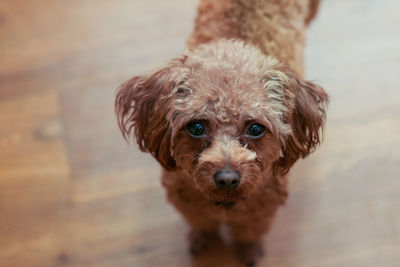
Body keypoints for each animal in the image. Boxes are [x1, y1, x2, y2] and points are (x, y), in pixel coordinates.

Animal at [115, 0, 328, 266]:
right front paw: (201, 238)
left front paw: (250, 250)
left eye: (256, 129)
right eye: (196, 127)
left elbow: (249, 233)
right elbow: (202, 224)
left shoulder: (261, 212)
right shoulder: (190, 205)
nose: (227, 178)